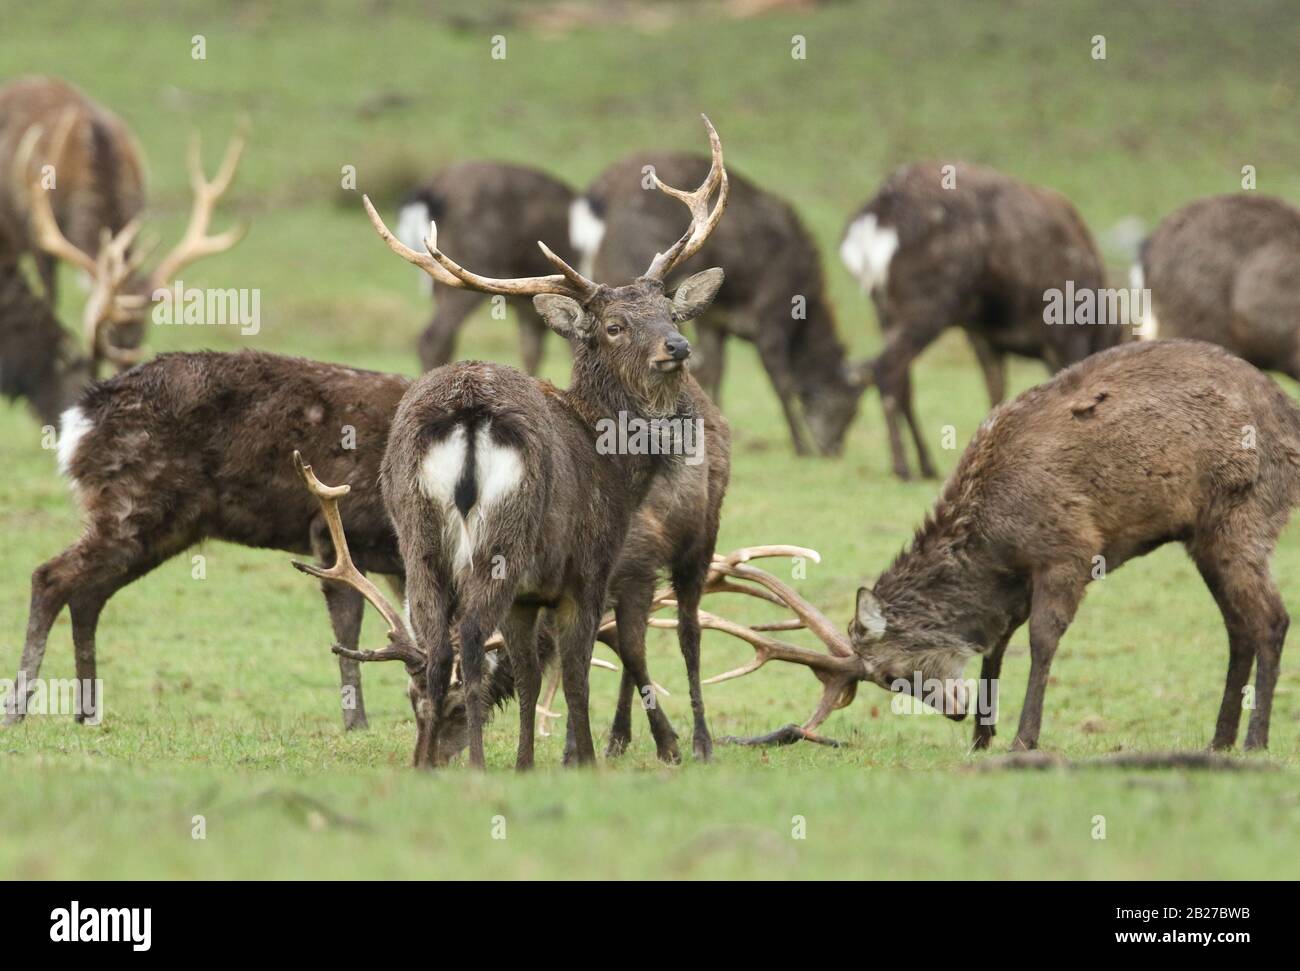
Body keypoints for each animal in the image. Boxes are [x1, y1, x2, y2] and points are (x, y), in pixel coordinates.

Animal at [396, 162, 579, 374]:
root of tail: (426, 192)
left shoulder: (529, 312)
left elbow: (531, 353)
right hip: (472, 262)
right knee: (433, 337)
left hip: (439, 285)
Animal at [573, 153, 868, 457]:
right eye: (847, 407)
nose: (832, 450)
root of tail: (595, 199)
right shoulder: (772, 312)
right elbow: (781, 381)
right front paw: (800, 447)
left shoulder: (714, 320)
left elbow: (715, 368)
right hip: (625, 260)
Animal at [707, 340, 1300, 753]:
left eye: (892, 676)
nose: (952, 711)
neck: (992, 539)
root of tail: (1290, 418)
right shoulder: (1014, 578)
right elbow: (994, 644)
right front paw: (982, 737)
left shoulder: (1069, 549)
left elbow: (1041, 640)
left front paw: (1022, 737)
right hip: (1203, 537)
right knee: (1238, 626)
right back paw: (1220, 739)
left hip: (1243, 515)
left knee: (1271, 619)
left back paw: (1255, 741)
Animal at [840, 162, 1120, 480]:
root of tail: (871, 226)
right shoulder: (1065, 332)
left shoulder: (983, 336)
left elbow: (996, 394)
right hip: (926, 304)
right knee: (886, 369)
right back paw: (902, 467)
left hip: (885, 310)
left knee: (900, 379)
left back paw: (926, 465)